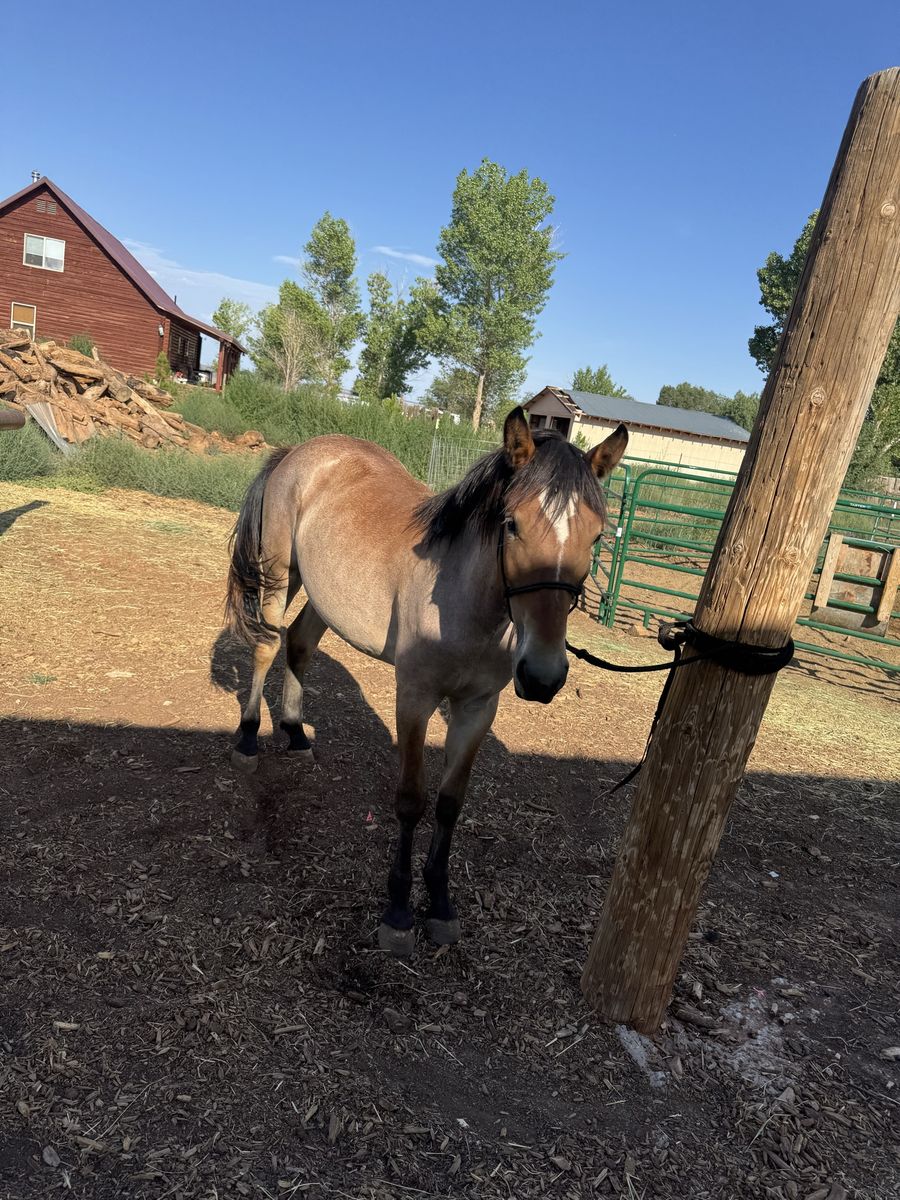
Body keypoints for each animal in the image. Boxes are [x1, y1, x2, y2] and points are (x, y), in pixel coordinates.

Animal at [224, 406, 628, 955]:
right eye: (513, 524)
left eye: (597, 536)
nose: (543, 676)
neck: (464, 604)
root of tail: (301, 450)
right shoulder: (414, 699)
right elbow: (411, 801)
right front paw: (397, 910)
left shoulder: (477, 708)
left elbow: (450, 803)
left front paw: (439, 903)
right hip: (279, 573)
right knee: (267, 645)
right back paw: (248, 737)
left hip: (325, 596)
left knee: (300, 645)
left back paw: (294, 731)